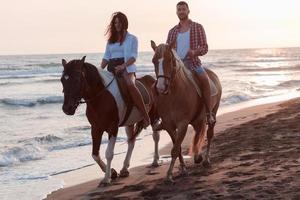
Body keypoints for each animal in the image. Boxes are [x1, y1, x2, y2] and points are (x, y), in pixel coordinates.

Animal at [59, 56, 161, 186]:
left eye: (76, 80)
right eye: (62, 80)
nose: (67, 108)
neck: (101, 97)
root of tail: (151, 79)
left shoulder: (113, 128)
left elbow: (108, 153)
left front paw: (106, 178)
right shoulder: (96, 128)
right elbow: (95, 154)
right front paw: (112, 172)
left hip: (153, 117)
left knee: (155, 136)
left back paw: (155, 161)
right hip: (130, 123)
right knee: (131, 142)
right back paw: (124, 169)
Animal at [150, 41, 223, 184]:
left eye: (170, 60)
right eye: (154, 61)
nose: (160, 87)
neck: (173, 95)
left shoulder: (182, 124)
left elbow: (174, 149)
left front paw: (169, 175)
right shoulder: (169, 125)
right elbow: (177, 148)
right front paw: (183, 169)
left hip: (213, 112)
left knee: (209, 134)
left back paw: (206, 160)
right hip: (197, 119)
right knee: (198, 132)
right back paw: (198, 156)